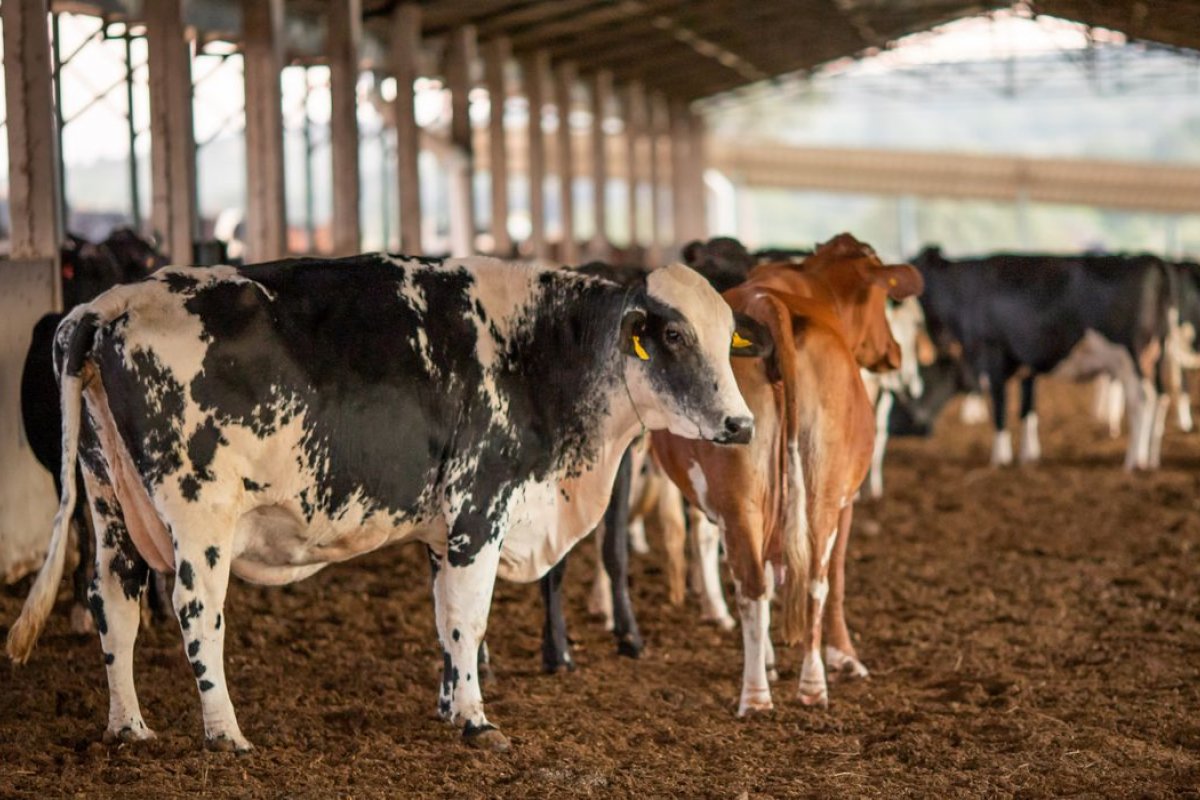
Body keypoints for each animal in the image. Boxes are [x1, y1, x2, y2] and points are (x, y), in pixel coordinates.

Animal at [7, 254, 764, 753]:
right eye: (674, 335)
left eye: (728, 336)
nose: (741, 424)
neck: (541, 351)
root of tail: (107, 305)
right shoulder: (479, 509)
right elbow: (469, 618)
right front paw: (476, 720)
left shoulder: (441, 529)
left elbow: (444, 618)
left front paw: (449, 705)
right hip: (198, 516)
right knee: (196, 611)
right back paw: (225, 734)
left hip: (108, 502)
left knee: (114, 602)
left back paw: (129, 727)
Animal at [652, 234, 923, 713]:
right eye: (880, 301)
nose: (893, 353)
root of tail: (769, 305)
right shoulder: (845, 501)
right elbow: (837, 579)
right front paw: (845, 657)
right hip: (818, 496)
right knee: (808, 580)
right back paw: (787, 687)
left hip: (746, 499)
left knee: (764, 583)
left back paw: (775, 690)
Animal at [913, 247, 1173, 470]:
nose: (940, 342)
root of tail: (1149, 259)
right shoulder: (1027, 365)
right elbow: (1027, 410)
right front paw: (1028, 457)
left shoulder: (991, 354)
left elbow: (1000, 408)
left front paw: (999, 459)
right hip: (1154, 356)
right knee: (1160, 397)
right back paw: (1151, 459)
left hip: (1130, 356)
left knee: (1141, 401)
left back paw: (1133, 461)